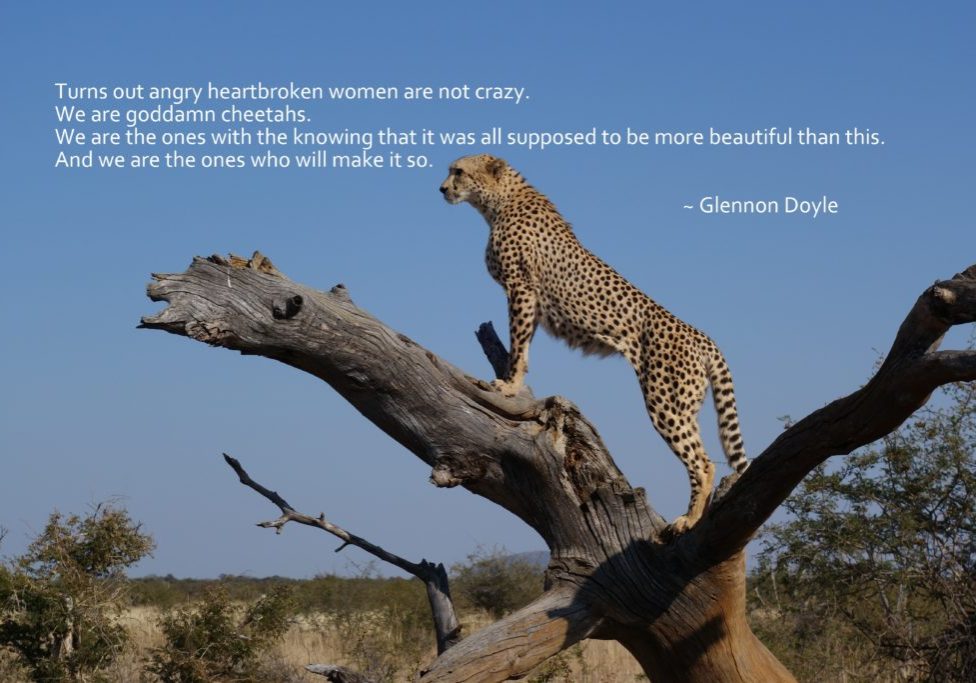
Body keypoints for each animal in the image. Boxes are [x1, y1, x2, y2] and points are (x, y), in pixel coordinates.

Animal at [439, 153, 749, 533]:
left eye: (458, 172)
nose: (442, 188)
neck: (499, 201)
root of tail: (701, 335)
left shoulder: (521, 289)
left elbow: (519, 344)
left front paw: (509, 386)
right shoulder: (530, 298)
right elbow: (523, 346)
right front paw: (513, 381)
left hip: (665, 401)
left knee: (703, 462)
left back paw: (688, 519)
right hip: (686, 404)